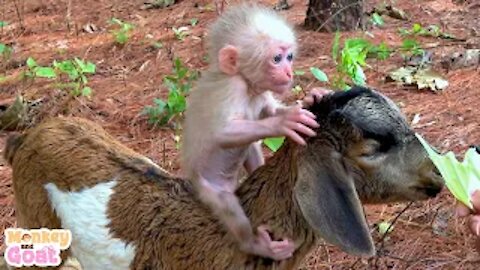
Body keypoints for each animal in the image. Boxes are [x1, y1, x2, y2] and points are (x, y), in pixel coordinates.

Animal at [182, 2, 328, 260]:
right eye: (277, 58)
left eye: (290, 57)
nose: (289, 73)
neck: (248, 87)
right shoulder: (233, 87)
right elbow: (222, 132)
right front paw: (284, 123)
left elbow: (269, 110)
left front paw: (311, 97)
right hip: (209, 188)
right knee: (227, 205)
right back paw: (255, 245)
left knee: (249, 147)